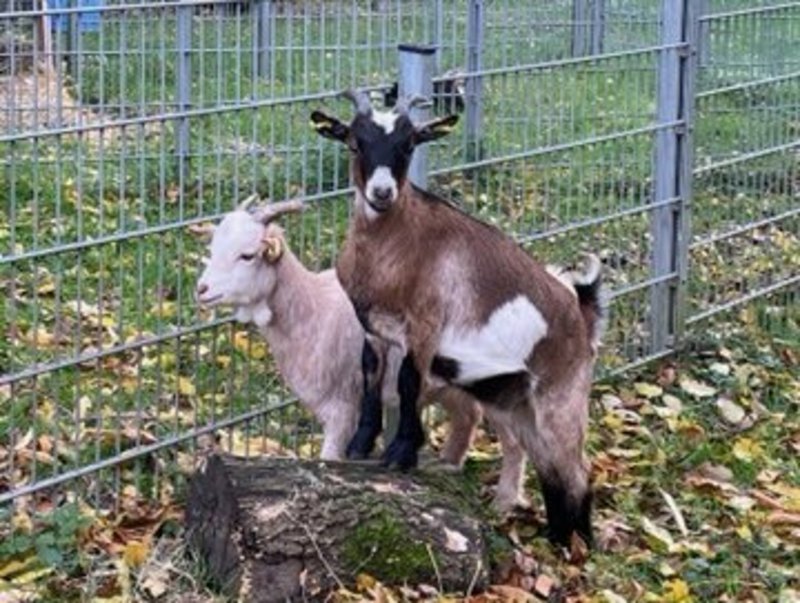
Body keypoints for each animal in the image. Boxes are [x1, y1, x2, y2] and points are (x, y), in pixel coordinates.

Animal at [194, 197, 528, 512]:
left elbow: (330, 458)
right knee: (467, 415)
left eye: (247, 255)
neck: (311, 309)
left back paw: (504, 503)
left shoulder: (343, 406)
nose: (201, 289)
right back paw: (447, 465)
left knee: (513, 442)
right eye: (213, 248)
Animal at [310, 91, 606, 547]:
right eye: (355, 143)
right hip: (515, 398)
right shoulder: (373, 328)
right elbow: (370, 375)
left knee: (577, 469)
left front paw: (401, 454)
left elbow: (407, 382)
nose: (382, 192)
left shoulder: (425, 327)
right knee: (547, 463)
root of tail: (582, 313)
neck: (398, 246)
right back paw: (556, 538)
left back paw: (578, 546)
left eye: (409, 145)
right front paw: (361, 447)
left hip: (562, 395)